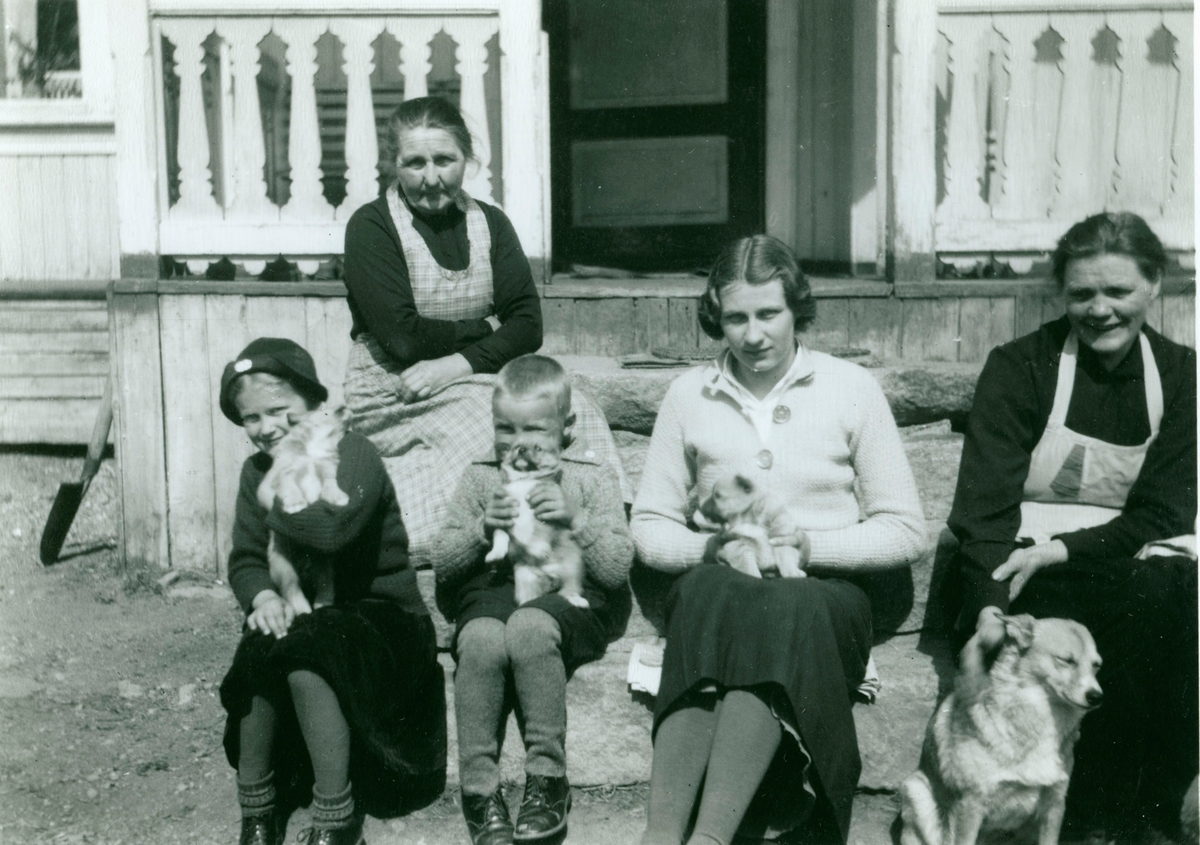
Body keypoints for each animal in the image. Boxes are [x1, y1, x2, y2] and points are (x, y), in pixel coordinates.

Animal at [253, 403, 348, 614]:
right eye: (324, 409)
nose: (344, 407)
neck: (315, 444)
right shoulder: (284, 473)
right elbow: (289, 487)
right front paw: (295, 505)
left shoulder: (328, 469)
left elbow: (330, 483)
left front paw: (338, 497)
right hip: (283, 566)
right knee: (292, 589)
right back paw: (303, 609)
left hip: (325, 563)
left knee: (325, 585)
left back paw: (323, 604)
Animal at [482, 441, 585, 607]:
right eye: (516, 447)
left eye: (538, 448)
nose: (522, 449)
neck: (523, 480)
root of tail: (551, 576)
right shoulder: (504, 515)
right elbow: (500, 535)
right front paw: (495, 553)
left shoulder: (543, 515)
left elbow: (537, 533)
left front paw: (537, 548)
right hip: (524, 578)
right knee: (529, 599)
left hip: (573, 564)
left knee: (569, 589)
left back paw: (577, 600)